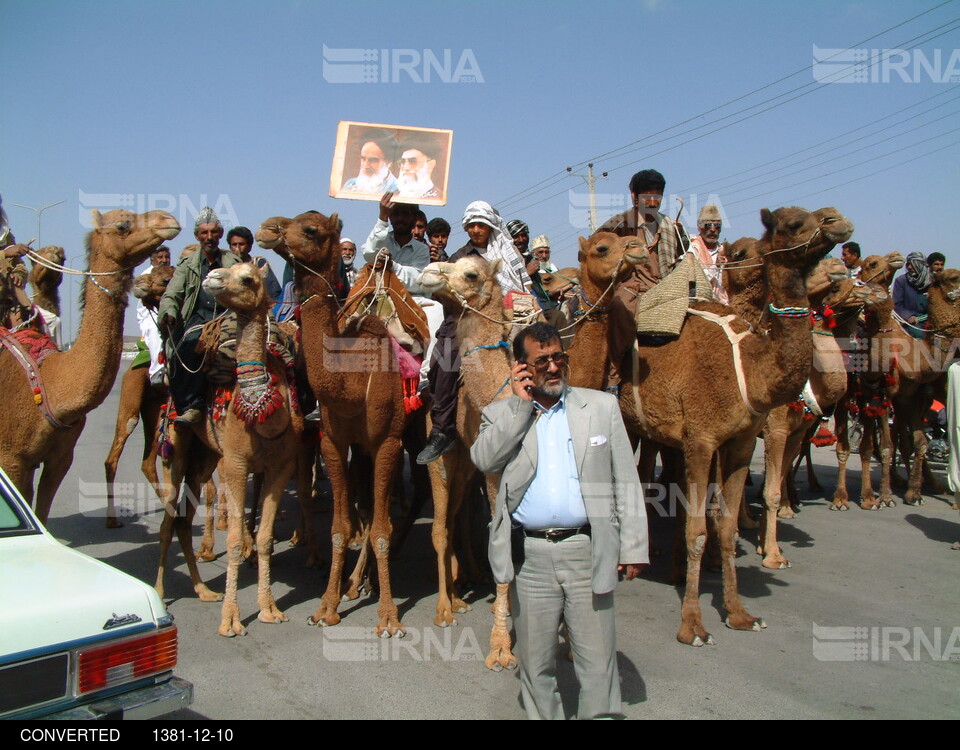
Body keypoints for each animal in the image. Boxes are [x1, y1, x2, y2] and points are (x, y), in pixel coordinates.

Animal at [103, 264, 174, 528]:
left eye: (166, 279)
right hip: (132, 398)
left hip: (154, 409)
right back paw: (112, 520)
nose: (138, 284)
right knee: (113, 456)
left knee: (147, 462)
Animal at [157, 262, 304, 636]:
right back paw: (161, 592)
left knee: (184, 520)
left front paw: (269, 609)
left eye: (247, 278)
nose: (212, 278)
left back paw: (203, 590)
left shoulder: (281, 466)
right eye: (227, 269)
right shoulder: (237, 463)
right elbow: (236, 541)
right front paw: (231, 620)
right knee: (168, 518)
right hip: (176, 445)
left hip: (205, 456)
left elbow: (265, 538)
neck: (264, 412)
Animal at [255, 212, 412, 640]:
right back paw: (356, 583)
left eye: (310, 230)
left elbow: (382, 530)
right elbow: (341, 527)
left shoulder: (389, 442)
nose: (267, 228)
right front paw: (326, 606)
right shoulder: (333, 444)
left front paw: (389, 618)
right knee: (367, 508)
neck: (350, 379)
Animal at [616, 206, 856, 648]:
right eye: (792, 224)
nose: (837, 221)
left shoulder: (741, 442)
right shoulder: (701, 439)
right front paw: (692, 624)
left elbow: (725, 525)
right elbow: (697, 528)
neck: (748, 366)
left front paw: (739, 612)